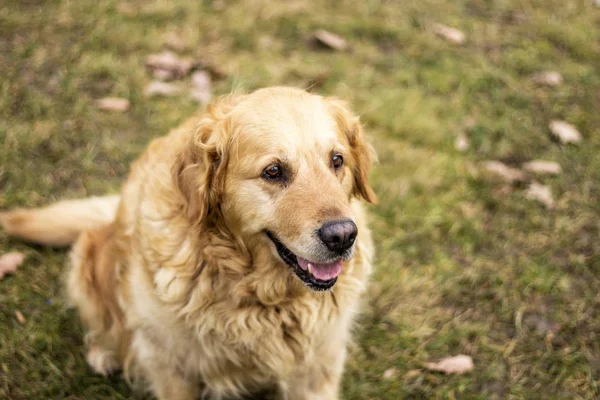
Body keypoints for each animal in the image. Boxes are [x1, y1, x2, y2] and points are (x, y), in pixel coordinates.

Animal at [1, 87, 376, 400]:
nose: (343, 235)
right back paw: (103, 353)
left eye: (337, 161)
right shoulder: (170, 365)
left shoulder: (317, 369)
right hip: (86, 263)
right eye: (273, 171)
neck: (261, 297)